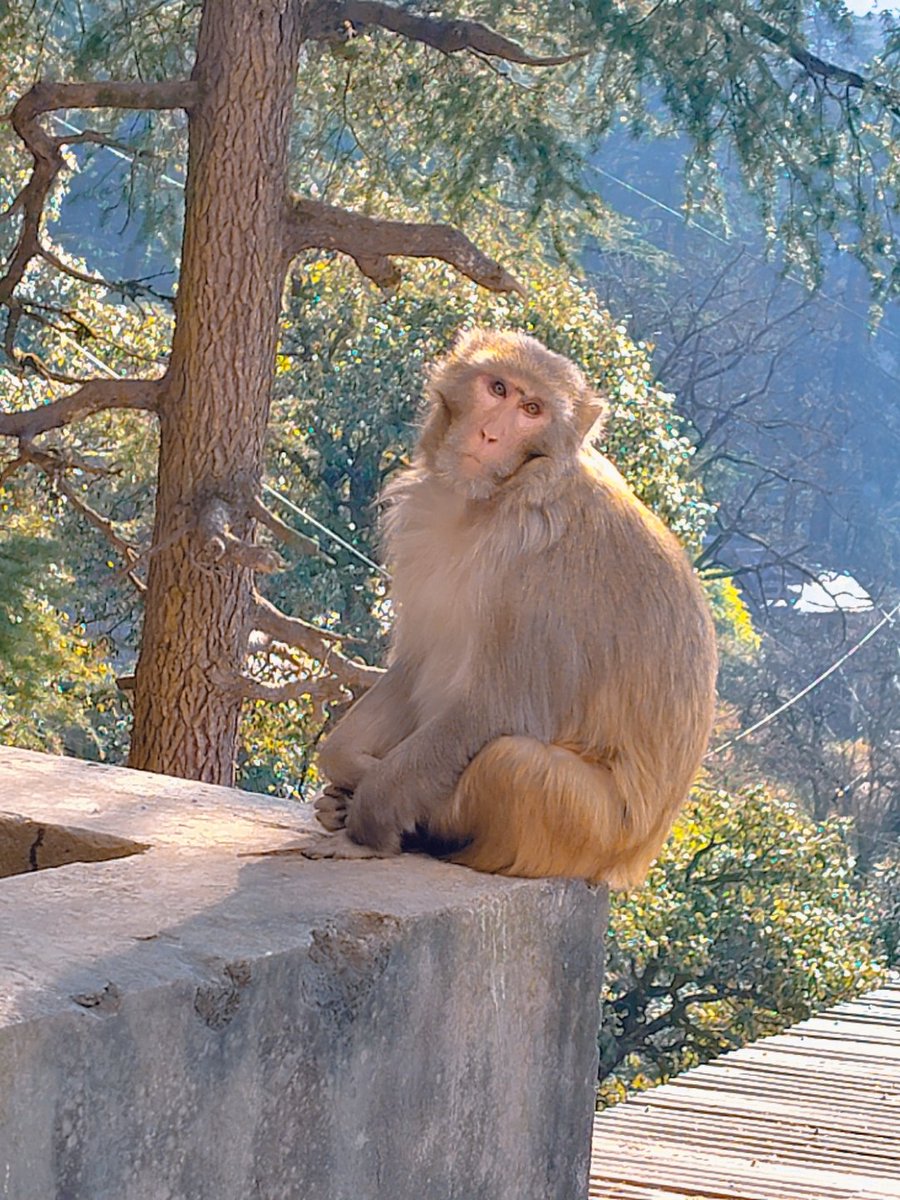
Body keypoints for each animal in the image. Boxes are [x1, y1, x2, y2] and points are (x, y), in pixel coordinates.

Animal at [310, 328, 717, 888]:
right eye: (498, 388)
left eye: (532, 410)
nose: (490, 435)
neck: (491, 503)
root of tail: (627, 864)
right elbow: (417, 664)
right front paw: (345, 763)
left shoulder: (543, 573)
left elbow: (498, 709)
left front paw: (368, 820)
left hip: (587, 833)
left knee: (513, 763)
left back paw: (426, 830)